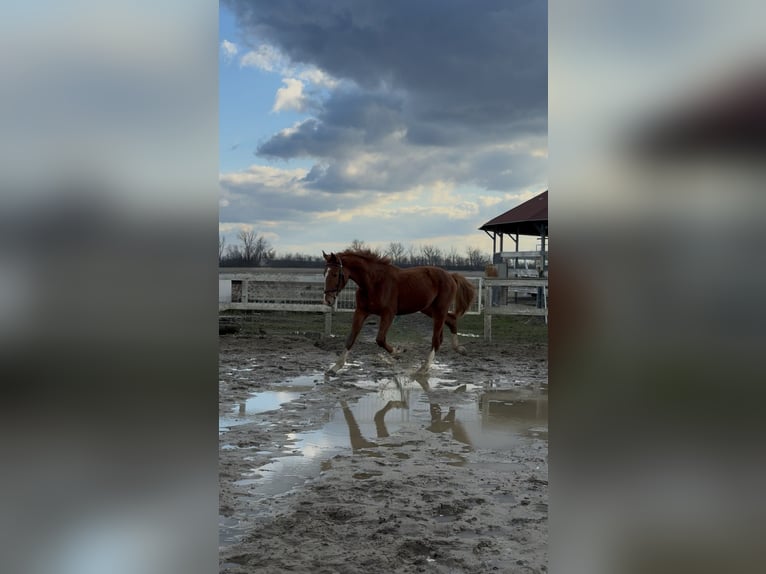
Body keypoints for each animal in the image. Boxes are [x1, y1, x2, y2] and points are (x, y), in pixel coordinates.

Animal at [322, 249, 476, 375]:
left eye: (334, 274)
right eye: (324, 274)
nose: (328, 300)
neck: (374, 282)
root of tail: (451, 275)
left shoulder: (388, 314)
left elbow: (380, 339)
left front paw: (398, 352)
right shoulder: (361, 312)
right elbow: (351, 338)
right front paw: (335, 367)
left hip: (439, 309)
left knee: (436, 340)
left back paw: (423, 369)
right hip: (429, 309)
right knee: (450, 321)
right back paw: (460, 349)